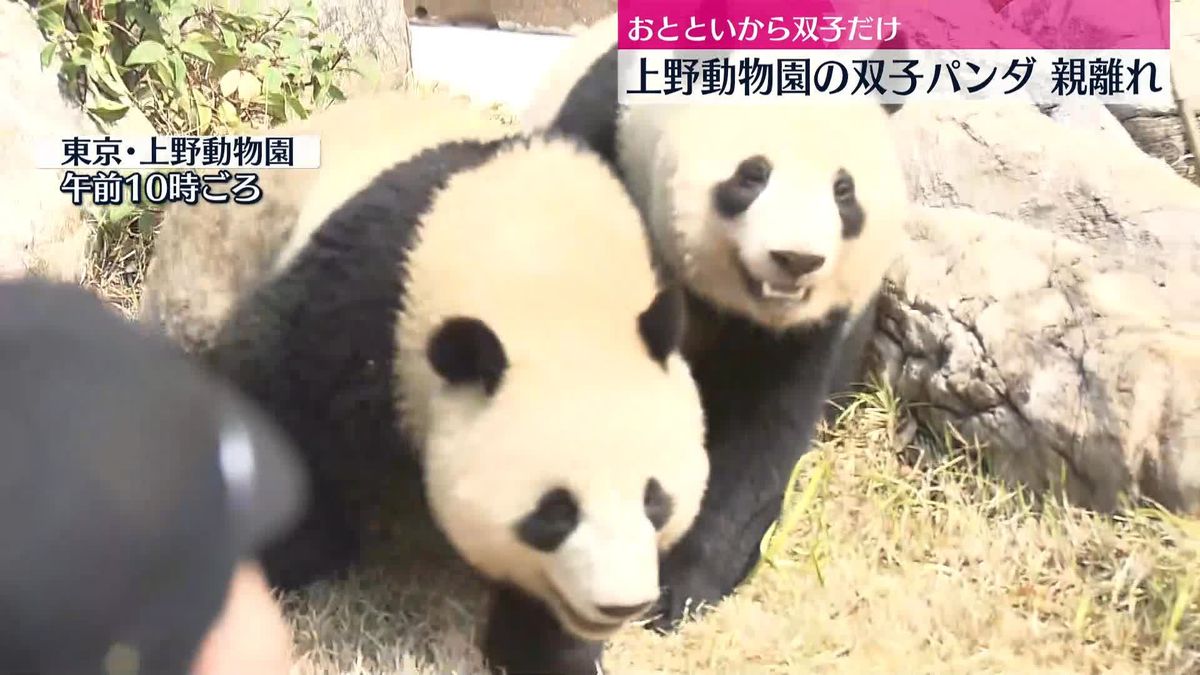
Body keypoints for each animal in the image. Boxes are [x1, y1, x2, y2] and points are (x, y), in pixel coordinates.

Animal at [138, 90, 710, 672]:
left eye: (655, 499)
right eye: (555, 512)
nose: (621, 604)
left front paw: (547, 649)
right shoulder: (369, 299)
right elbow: (274, 388)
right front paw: (297, 555)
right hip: (212, 263)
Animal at [523, 11, 907, 629]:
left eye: (843, 190)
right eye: (753, 175)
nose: (795, 259)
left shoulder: (803, 327)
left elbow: (761, 431)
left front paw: (680, 590)